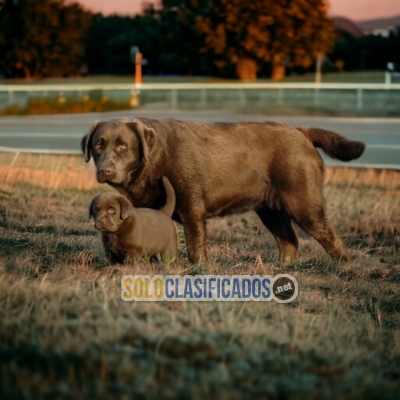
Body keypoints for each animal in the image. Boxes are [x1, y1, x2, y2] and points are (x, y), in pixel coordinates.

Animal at [82, 117, 366, 264]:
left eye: (122, 146)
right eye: (98, 145)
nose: (105, 170)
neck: (155, 160)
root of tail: (300, 131)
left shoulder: (192, 207)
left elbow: (195, 247)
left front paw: (198, 269)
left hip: (303, 203)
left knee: (330, 238)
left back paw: (345, 269)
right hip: (270, 210)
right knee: (289, 240)